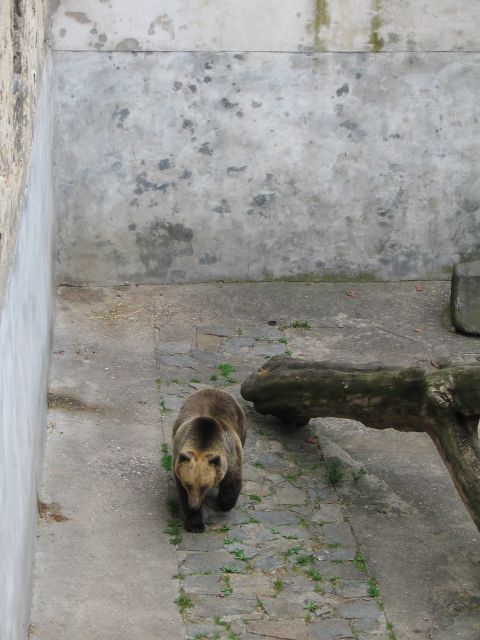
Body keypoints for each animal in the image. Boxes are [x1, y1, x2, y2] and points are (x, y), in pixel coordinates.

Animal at [172, 388, 248, 532]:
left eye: (204, 486)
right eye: (188, 484)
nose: (194, 505)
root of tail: (213, 389)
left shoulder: (231, 455)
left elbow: (232, 482)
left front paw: (223, 503)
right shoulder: (179, 461)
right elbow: (183, 493)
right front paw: (195, 524)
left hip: (241, 425)